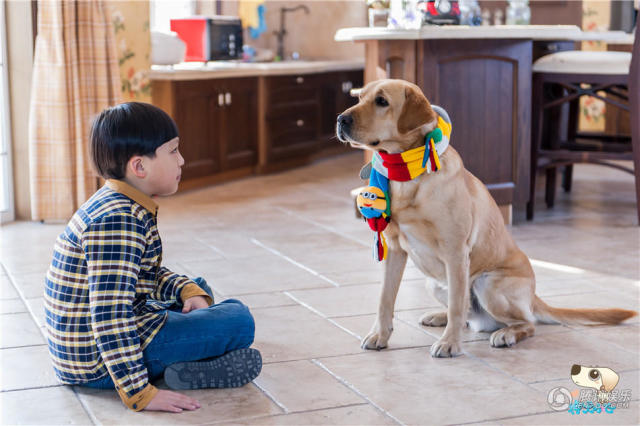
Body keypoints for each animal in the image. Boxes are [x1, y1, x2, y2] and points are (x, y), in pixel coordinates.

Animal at [336, 79, 636, 356]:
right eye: (359, 97)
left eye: (382, 101)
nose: (340, 119)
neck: (408, 175)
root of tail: (534, 297)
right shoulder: (395, 250)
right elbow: (385, 300)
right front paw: (379, 335)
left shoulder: (456, 252)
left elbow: (457, 306)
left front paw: (449, 344)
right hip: (435, 283)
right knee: (468, 315)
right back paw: (440, 317)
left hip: (487, 283)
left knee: (524, 322)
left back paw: (505, 334)